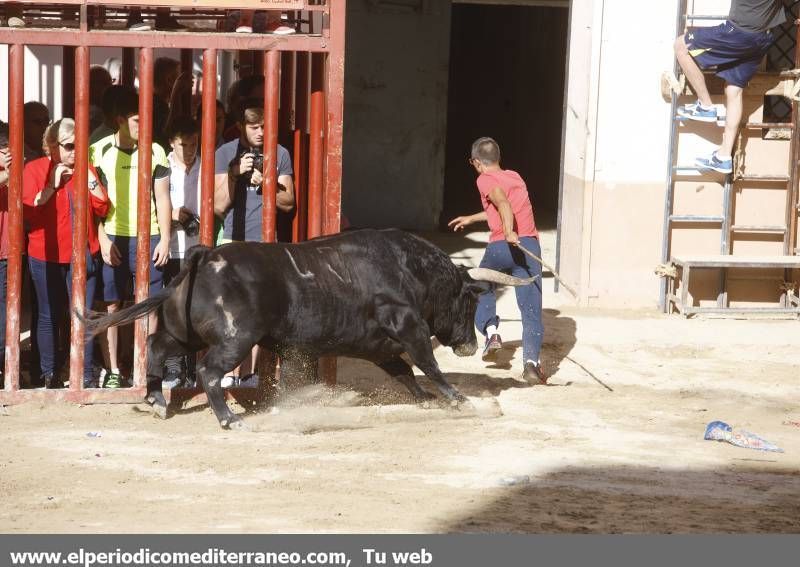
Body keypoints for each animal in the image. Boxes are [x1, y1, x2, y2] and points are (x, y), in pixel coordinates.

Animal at [81, 229, 536, 428]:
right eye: (470, 301)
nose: (469, 346)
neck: (411, 270)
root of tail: (206, 256)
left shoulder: (381, 347)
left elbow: (406, 374)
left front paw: (427, 402)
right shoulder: (407, 326)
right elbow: (428, 365)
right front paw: (460, 401)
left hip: (184, 331)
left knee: (157, 345)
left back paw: (158, 400)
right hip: (235, 340)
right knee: (209, 371)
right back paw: (228, 419)